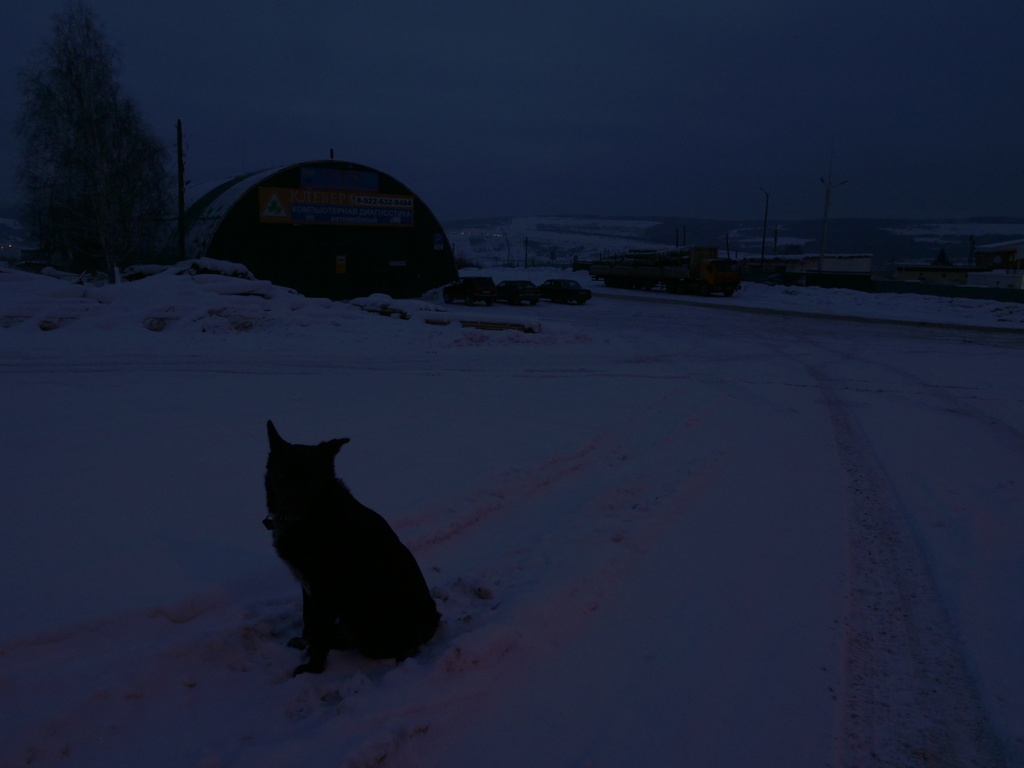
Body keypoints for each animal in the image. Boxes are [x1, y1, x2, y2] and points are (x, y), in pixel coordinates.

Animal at [262, 417, 438, 675]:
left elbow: (319, 634)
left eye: (311, 479)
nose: (290, 509)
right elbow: (308, 621)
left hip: (362, 615)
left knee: (362, 644)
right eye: (282, 476)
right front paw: (307, 642)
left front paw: (314, 668)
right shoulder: (308, 586)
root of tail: (433, 622)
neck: (317, 515)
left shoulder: (325, 591)